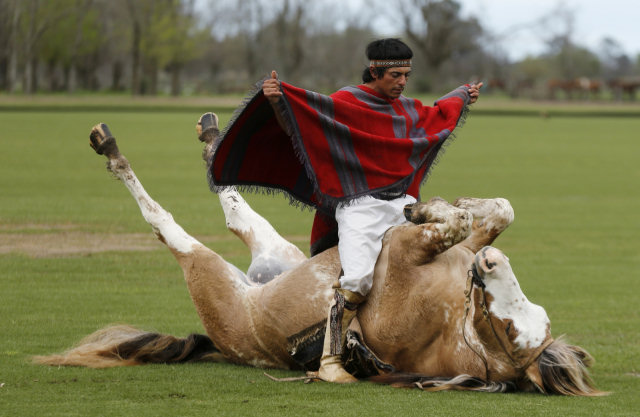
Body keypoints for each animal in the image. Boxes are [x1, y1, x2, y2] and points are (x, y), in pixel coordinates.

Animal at [35, 113, 604, 394]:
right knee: (237, 209)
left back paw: (113, 149)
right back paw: (212, 133)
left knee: (173, 224)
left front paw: (429, 209)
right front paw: (445, 204)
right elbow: (495, 212)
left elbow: (452, 223)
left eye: (503, 329)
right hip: (277, 255)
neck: (453, 315)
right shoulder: (455, 246)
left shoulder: (403, 255)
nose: (489, 267)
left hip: (210, 273)